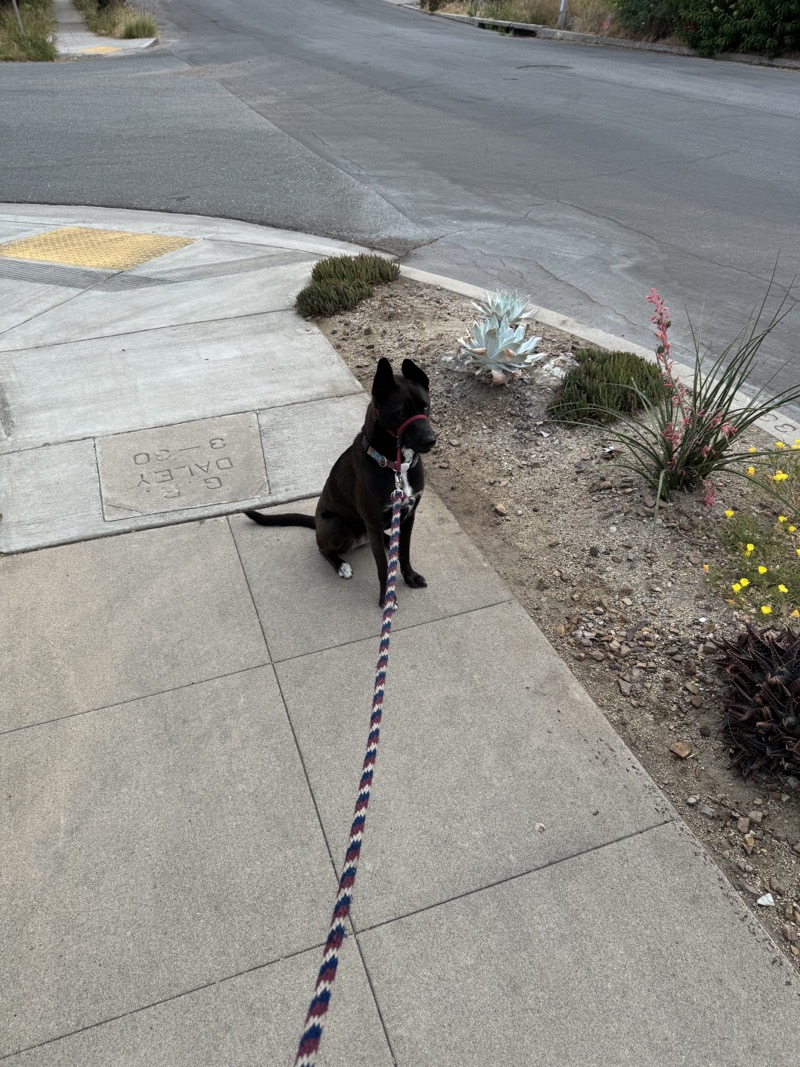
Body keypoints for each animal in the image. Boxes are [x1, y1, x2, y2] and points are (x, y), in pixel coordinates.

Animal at [247, 358, 439, 606]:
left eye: (425, 407)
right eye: (401, 412)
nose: (430, 441)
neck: (395, 467)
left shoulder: (409, 516)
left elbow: (404, 553)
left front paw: (410, 577)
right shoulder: (374, 521)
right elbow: (382, 567)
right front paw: (386, 598)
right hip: (337, 524)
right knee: (323, 549)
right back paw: (341, 565)